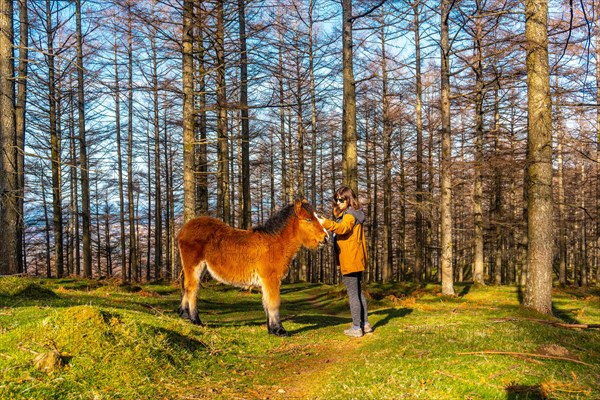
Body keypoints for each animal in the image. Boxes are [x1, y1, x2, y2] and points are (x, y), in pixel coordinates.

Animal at [178, 199, 328, 334]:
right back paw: (196, 320)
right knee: (192, 289)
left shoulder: (265, 282)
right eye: (308, 220)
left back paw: (184, 314)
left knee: (189, 288)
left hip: (202, 268)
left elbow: (266, 303)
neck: (274, 243)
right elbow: (274, 303)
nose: (325, 238)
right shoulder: (271, 280)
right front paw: (279, 330)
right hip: (194, 266)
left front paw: (271, 329)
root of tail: (184, 228)